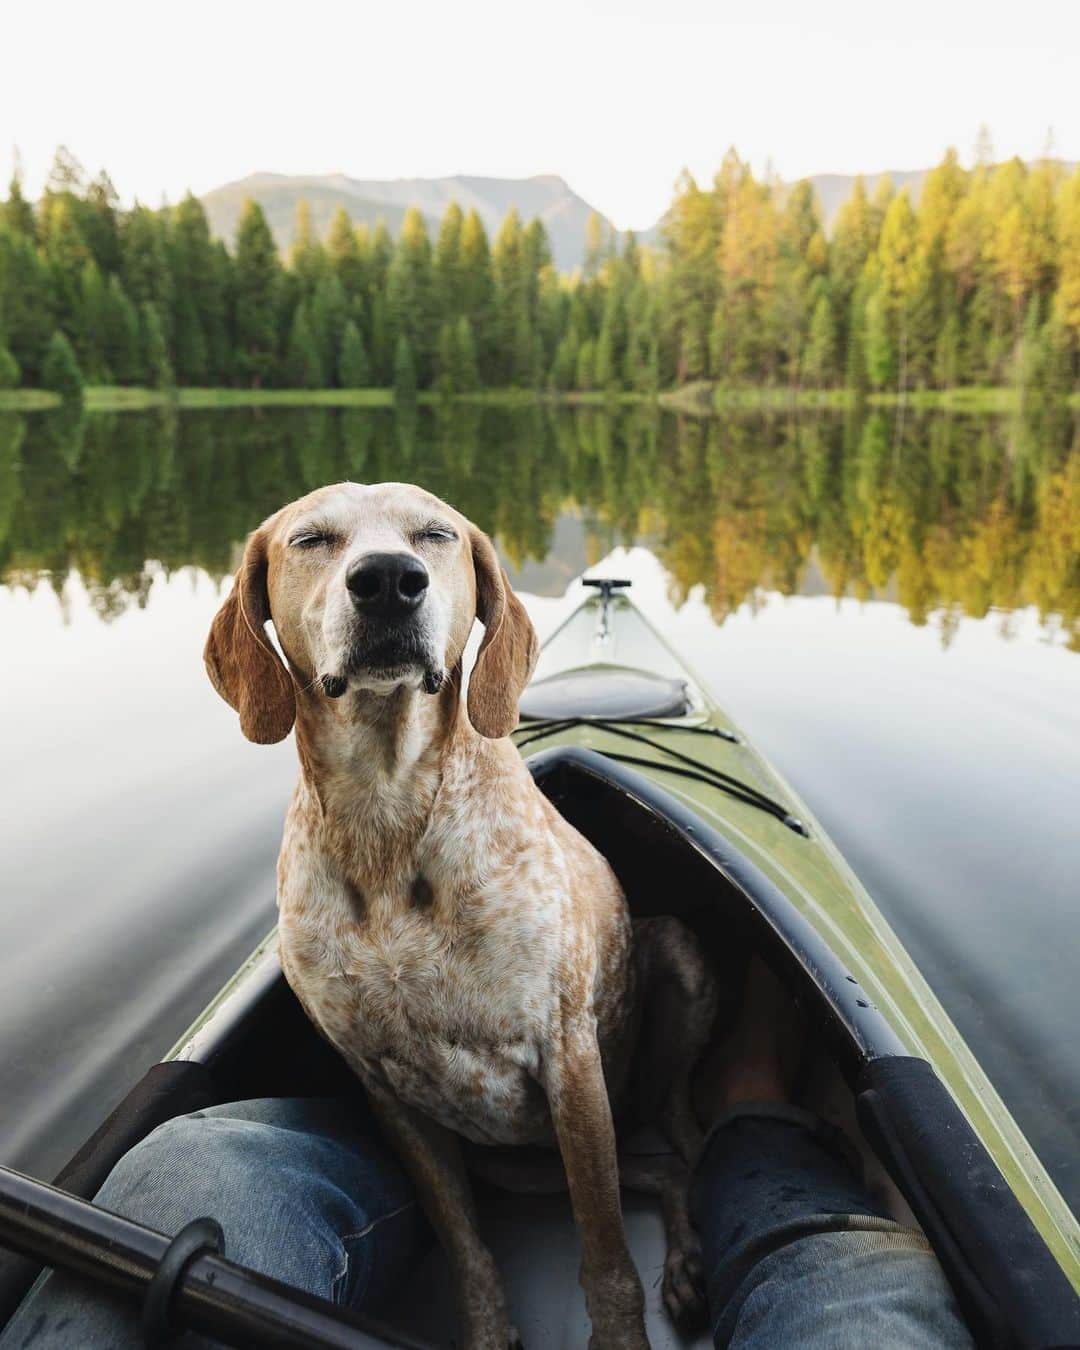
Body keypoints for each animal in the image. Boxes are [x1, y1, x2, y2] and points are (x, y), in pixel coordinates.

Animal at [207, 480, 723, 1344]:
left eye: (435, 533)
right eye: (311, 539)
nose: (387, 580)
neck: (386, 813)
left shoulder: (569, 1060)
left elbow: (607, 1257)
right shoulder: (389, 1093)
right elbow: (466, 1245)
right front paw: (487, 1329)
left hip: (675, 972)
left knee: (679, 1150)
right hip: (520, 1166)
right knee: (659, 1169)